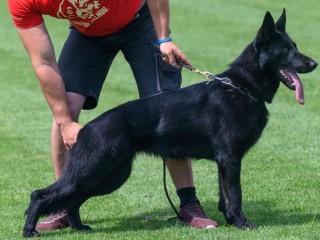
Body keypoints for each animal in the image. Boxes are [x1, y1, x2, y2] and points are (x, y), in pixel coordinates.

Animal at [23, 9, 318, 238]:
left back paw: (79, 227)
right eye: (286, 50)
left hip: (110, 175)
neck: (242, 87)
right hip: (94, 171)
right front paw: (242, 223)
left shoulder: (224, 162)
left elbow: (224, 196)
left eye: (295, 46)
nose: (314, 63)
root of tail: (85, 129)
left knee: (72, 199)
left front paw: (230, 221)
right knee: (41, 195)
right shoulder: (231, 160)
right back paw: (30, 230)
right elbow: (236, 195)